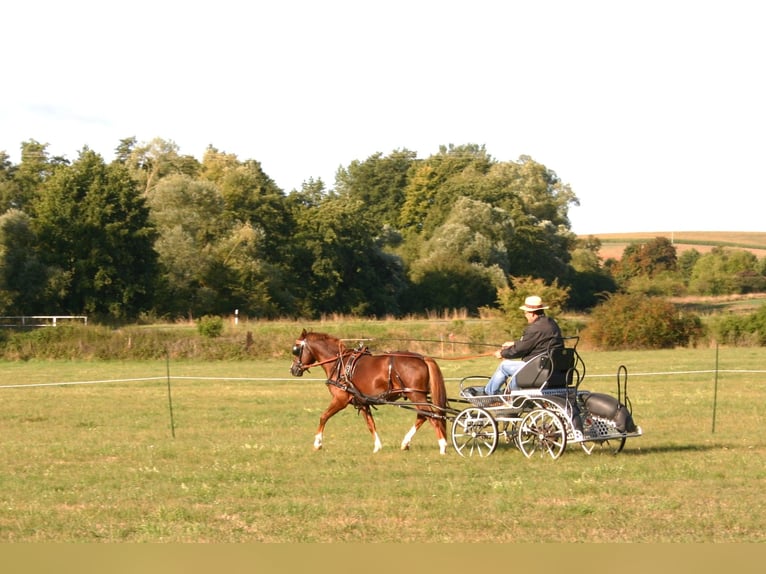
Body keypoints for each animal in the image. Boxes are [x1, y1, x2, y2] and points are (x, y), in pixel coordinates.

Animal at [292, 330, 452, 456]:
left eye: (296, 349)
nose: (293, 369)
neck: (340, 364)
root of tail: (422, 358)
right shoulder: (362, 402)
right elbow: (370, 424)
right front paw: (377, 446)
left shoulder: (340, 399)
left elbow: (323, 417)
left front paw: (317, 443)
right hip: (417, 395)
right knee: (423, 415)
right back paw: (406, 443)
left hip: (416, 394)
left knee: (431, 416)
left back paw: (442, 446)